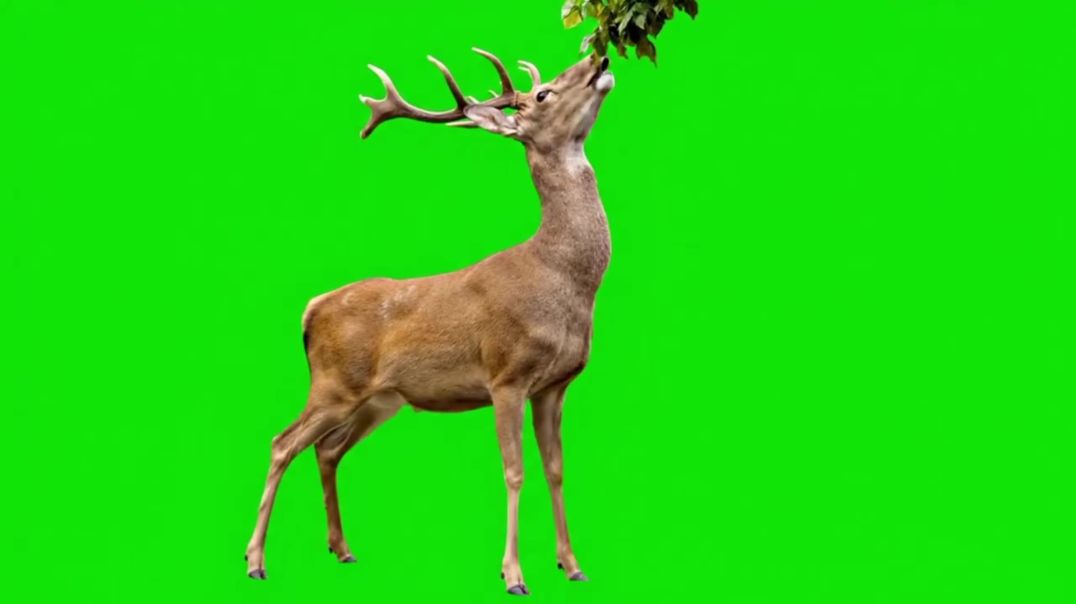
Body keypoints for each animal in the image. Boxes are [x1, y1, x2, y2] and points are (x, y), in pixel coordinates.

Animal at [244, 48, 616, 596]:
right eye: (544, 93)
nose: (599, 58)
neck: (563, 281)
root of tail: (312, 308)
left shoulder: (555, 385)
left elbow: (556, 470)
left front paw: (572, 565)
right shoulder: (506, 375)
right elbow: (515, 470)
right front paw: (513, 575)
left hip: (380, 399)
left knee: (327, 450)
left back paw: (343, 549)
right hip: (334, 383)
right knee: (281, 443)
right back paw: (255, 560)